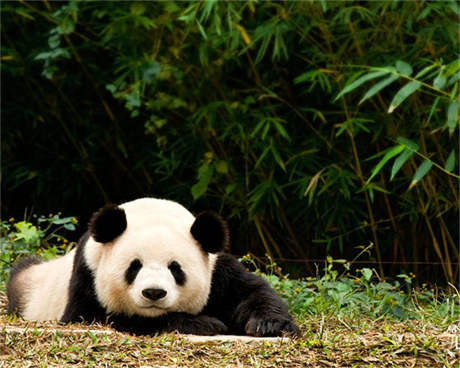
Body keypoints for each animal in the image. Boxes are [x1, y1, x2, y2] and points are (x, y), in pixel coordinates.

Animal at [9, 198, 300, 336]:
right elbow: (95, 316)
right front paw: (205, 324)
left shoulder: (217, 268)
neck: (151, 212)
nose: (153, 293)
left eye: (175, 268)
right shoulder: (88, 272)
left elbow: (251, 292)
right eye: (134, 267)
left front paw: (269, 325)